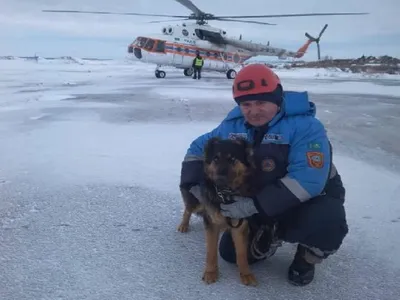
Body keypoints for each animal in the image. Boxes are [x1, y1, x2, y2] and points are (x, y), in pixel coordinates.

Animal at [178, 137, 260, 286]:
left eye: (232, 159)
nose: (220, 177)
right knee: (188, 209)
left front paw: (246, 273)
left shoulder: (240, 224)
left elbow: (241, 253)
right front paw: (210, 272)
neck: (225, 195)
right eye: (216, 158)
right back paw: (184, 225)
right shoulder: (211, 223)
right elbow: (211, 251)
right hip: (198, 203)